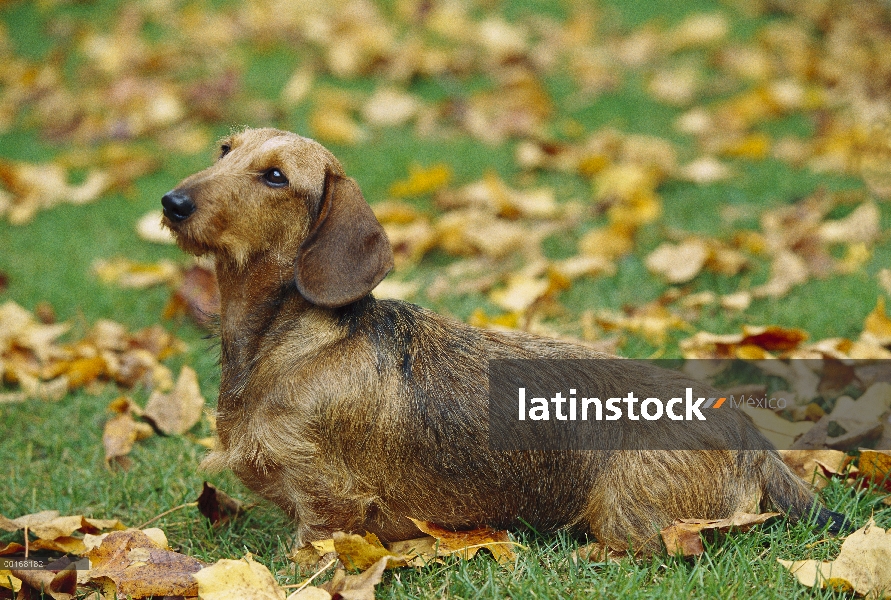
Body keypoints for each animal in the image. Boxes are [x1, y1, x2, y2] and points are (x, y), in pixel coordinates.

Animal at [162, 126, 852, 552]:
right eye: (224, 149)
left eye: (275, 177)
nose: (172, 201)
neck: (290, 342)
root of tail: (751, 437)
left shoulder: (328, 511)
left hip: (624, 513)